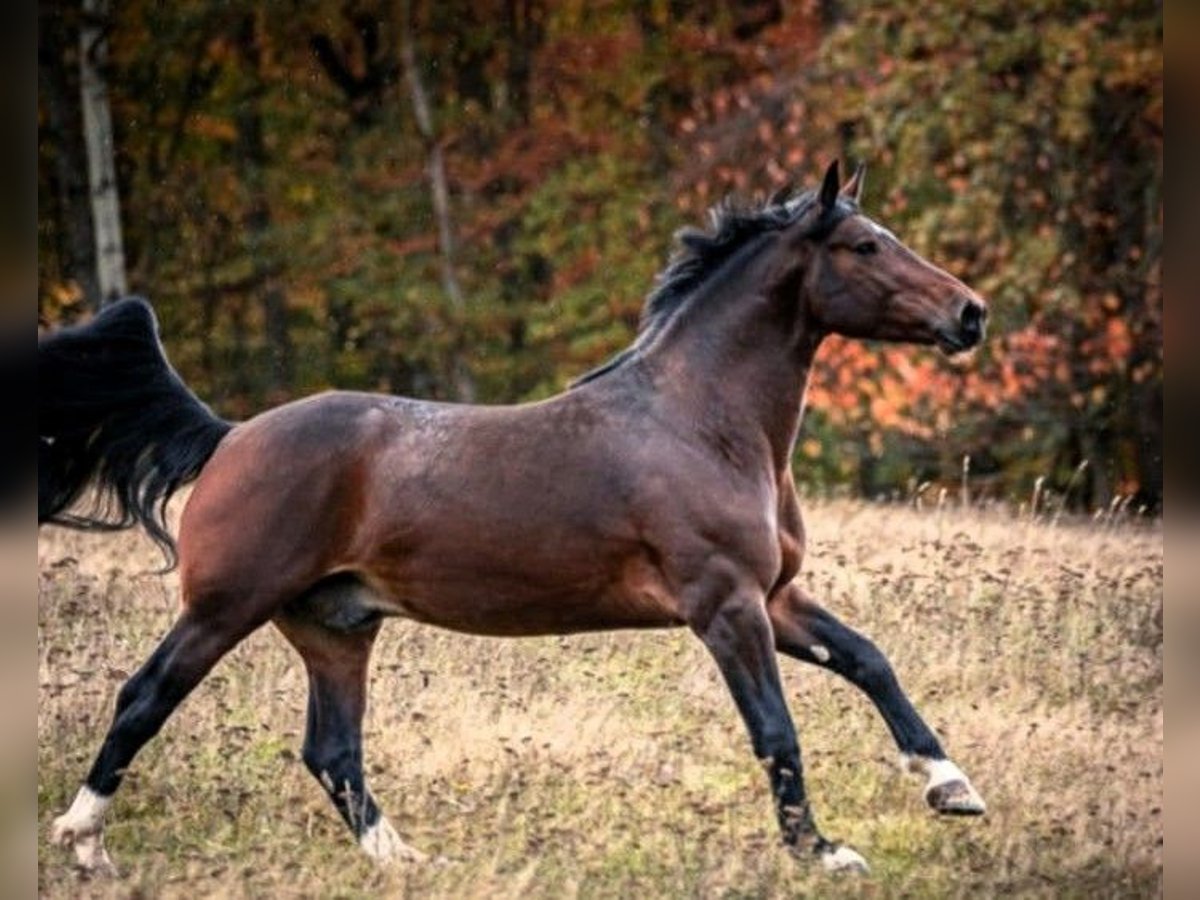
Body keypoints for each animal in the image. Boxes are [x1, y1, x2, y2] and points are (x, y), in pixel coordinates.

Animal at [39, 161, 988, 877]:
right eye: (865, 246)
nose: (970, 313)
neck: (699, 422)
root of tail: (231, 435)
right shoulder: (726, 607)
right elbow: (776, 729)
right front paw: (821, 852)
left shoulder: (777, 598)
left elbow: (869, 661)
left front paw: (951, 787)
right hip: (223, 609)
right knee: (143, 699)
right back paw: (82, 845)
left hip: (335, 628)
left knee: (332, 752)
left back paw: (407, 862)